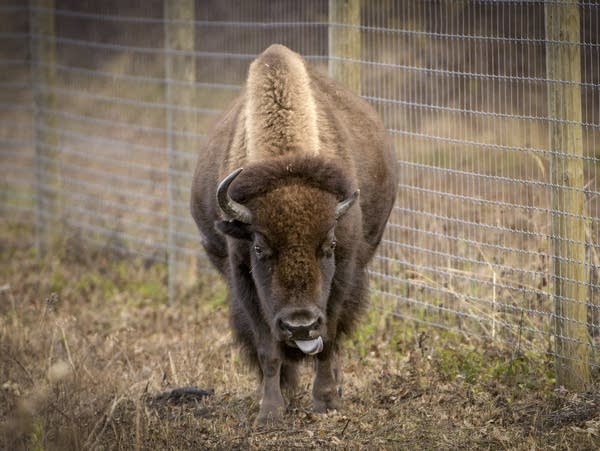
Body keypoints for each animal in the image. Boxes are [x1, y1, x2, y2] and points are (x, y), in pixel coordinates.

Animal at [192, 44, 396, 426]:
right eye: (259, 247)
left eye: (328, 245)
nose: (300, 325)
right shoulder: (242, 275)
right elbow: (267, 348)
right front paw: (271, 411)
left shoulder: (344, 271)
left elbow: (329, 336)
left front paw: (327, 400)